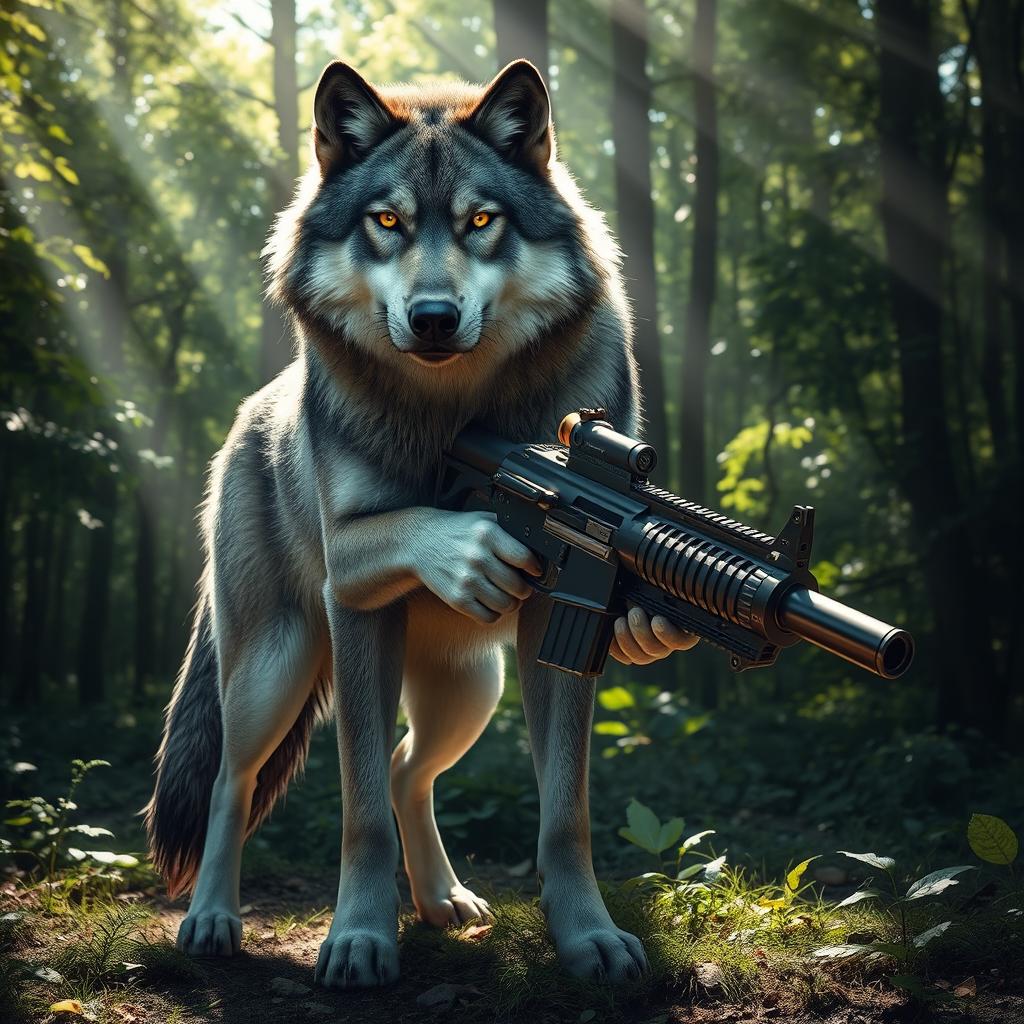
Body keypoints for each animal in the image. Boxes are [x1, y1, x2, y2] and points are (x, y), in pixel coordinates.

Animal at [144, 58, 697, 989]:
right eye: (387, 222)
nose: (433, 317)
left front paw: (588, 937)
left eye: (481, 220)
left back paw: (443, 901)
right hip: (275, 668)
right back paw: (212, 920)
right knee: (234, 780)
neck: (455, 413)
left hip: (472, 690)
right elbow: (358, 812)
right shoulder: (352, 588)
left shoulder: (561, 625)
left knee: (408, 770)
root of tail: (250, 413)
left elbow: (564, 814)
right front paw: (360, 939)